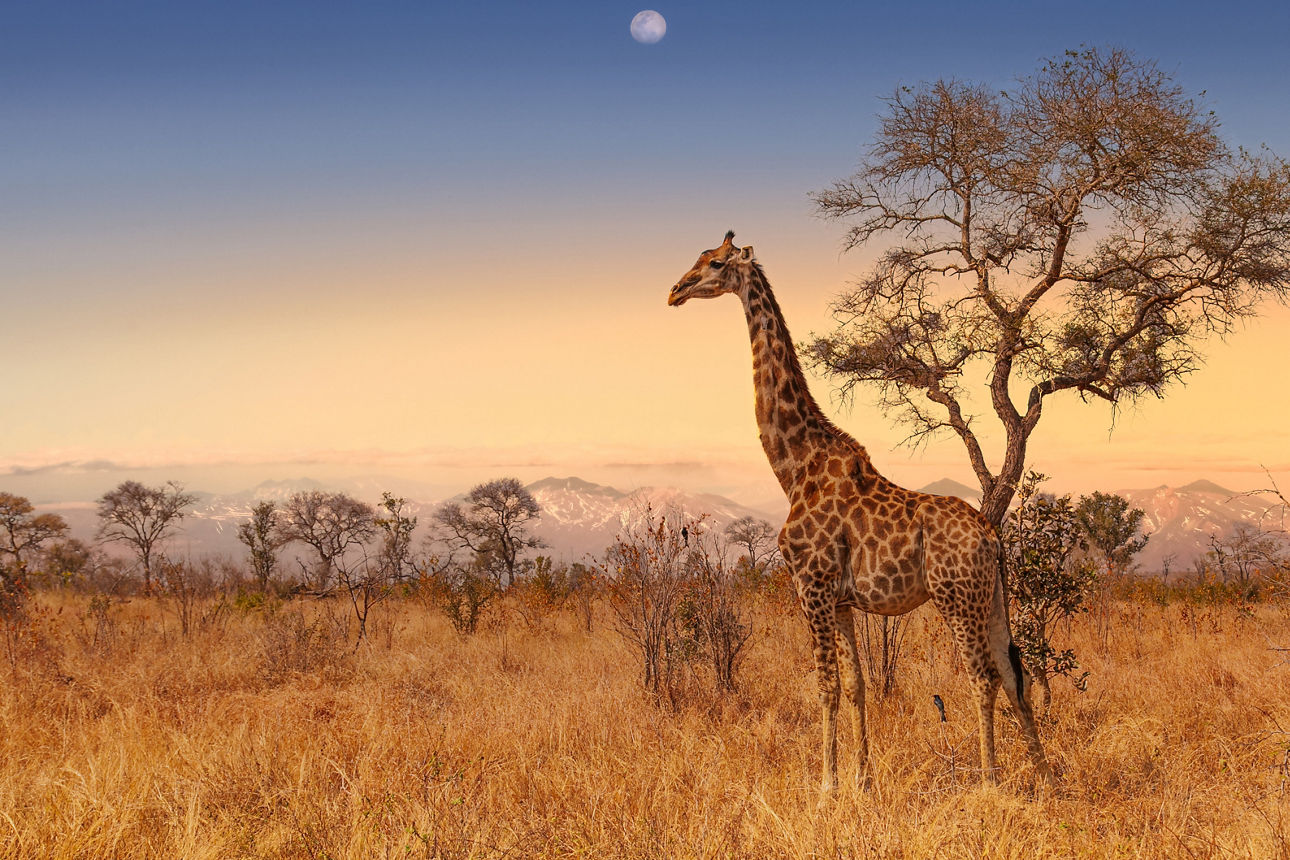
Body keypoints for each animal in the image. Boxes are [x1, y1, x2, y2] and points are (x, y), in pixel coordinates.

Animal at [667, 231, 1054, 792]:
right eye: (697, 259)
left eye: (715, 264)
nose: (675, 290)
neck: (794, 467)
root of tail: (991, 537)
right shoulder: (843, 599)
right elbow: (856, 685)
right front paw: (860, 781)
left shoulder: (811, 585)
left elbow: (826, 685)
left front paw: (826, 785)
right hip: (993, 597)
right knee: (1011, 672)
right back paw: (1047, 777)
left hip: (955, 596)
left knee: (981, 676)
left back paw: (989, 780)